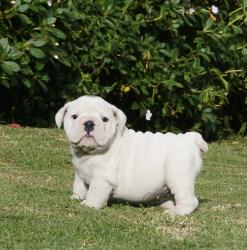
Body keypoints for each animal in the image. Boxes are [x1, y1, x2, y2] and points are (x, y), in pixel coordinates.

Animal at [55, 95, 207, 217]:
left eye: (104, 119)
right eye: (74, 116)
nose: (89, 123)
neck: (88, 152)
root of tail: (191, 139)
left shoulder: (102, 180)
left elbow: (95, 193)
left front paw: (89, 205)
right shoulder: (79, 174)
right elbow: (78, 186)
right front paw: (76, 197)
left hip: (179, 177)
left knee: (189, 200)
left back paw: (175, 212)